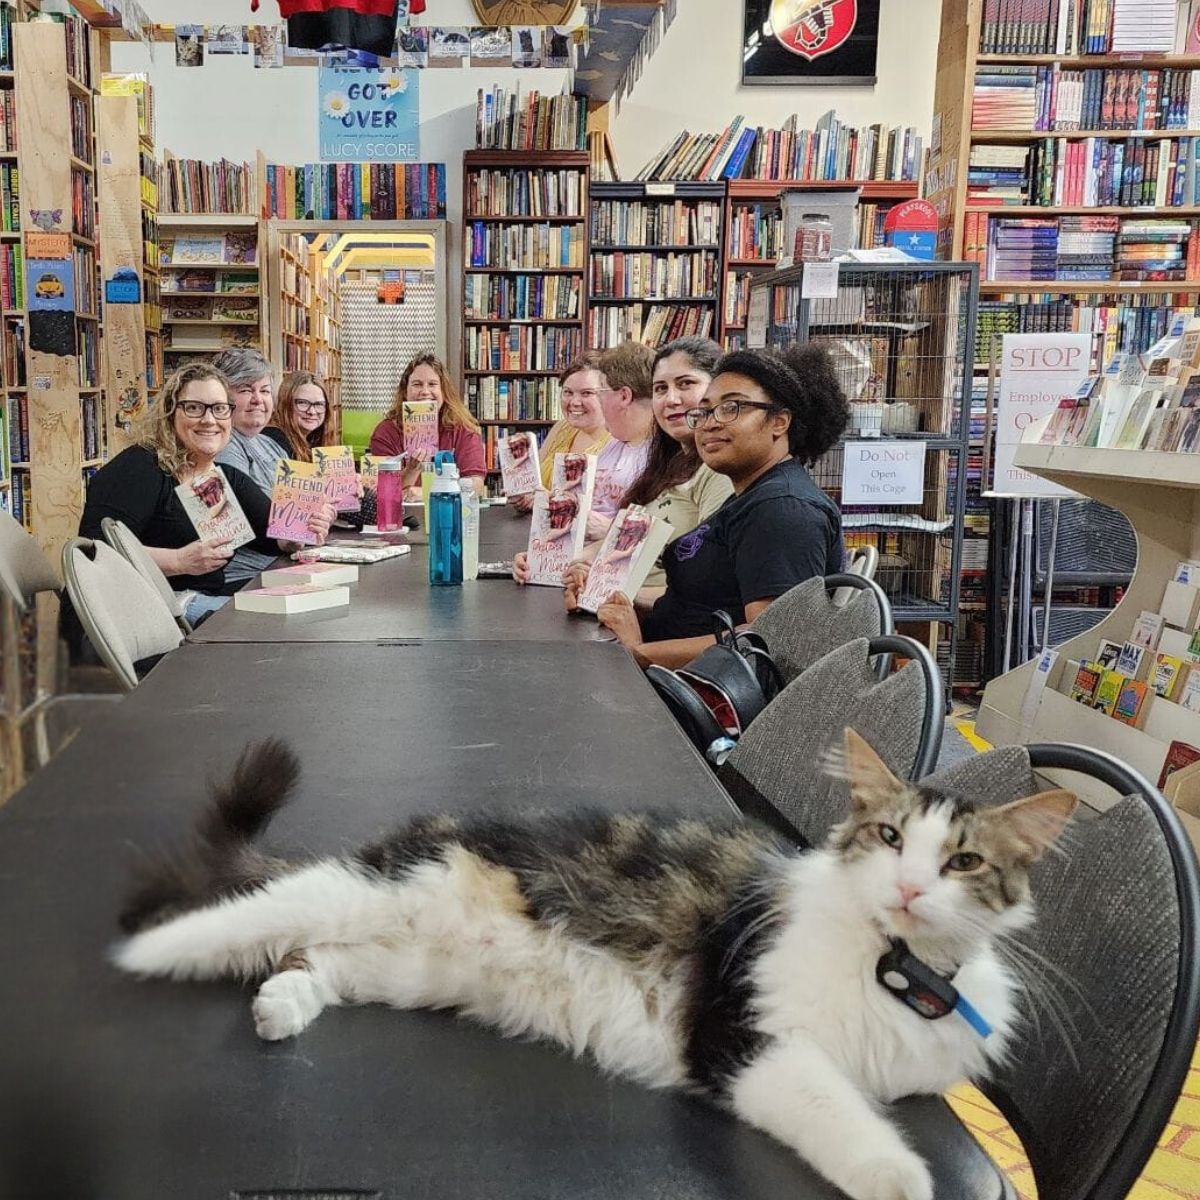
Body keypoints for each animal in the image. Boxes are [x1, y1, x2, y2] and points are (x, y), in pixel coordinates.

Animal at [114, 724, 1080, 1200]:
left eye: (963, 863)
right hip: (363, 893)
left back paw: (280, 1006)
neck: (893, 967)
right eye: (887, 839)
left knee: (317, 958)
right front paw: (901, 1178)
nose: (911, 888)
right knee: (250, 915)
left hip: (408, 966)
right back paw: (141, 950)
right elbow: (844, 1119)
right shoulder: (740, 1039)